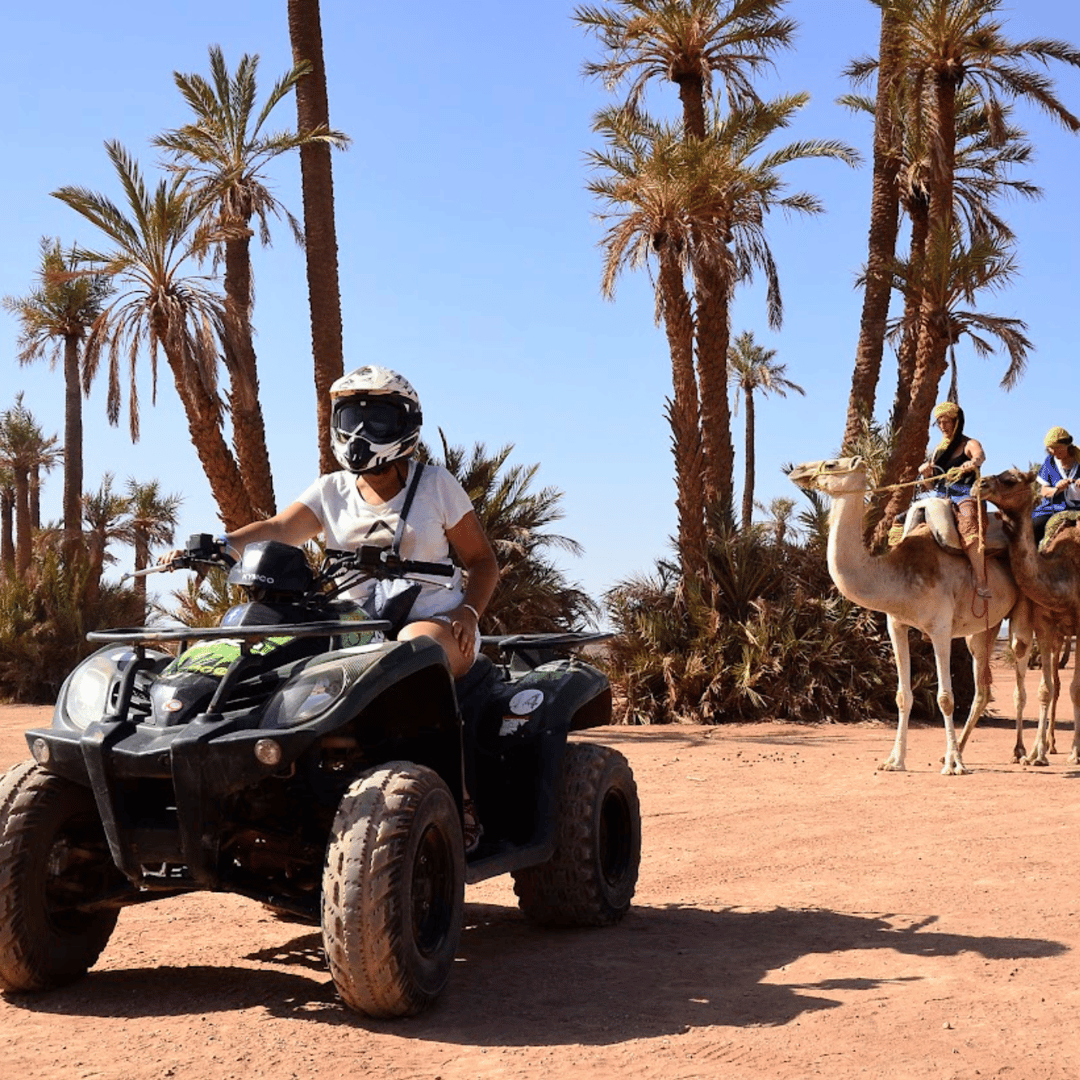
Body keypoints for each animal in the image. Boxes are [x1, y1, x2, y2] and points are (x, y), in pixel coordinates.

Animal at [789, 457, 1032, 775]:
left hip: (1023, 609)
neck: (899, 575)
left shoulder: (940, 628)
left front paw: (954, 766)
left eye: (831, 464)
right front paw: (894, 761)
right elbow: (903, 696)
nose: (797, 470)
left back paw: (1028, 752)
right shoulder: (897, 625)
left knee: (1024, 669)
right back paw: (960, 751)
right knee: (982, 687)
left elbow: (945, 698)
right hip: (981, 630)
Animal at [975, 468, 1080, 765]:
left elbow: (1076, 690)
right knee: (1056, 683)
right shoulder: (1045, 625)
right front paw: (1037, 753)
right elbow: (1046, 689)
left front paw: (1075, 752)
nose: (980, 483)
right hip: (1058, 636)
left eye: (1010, 480)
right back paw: (1049, 745)